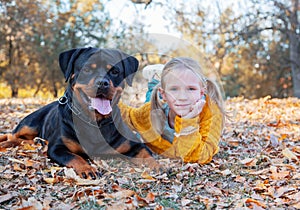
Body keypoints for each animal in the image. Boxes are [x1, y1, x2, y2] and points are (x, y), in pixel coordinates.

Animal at [0, 47, 158, 179]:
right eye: (87, 69)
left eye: (114, 71)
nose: (102, 83)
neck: (95, 122)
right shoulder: (57, 148)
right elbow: (75, 157)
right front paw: (87, 169)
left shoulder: (133, 144)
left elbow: (146, 153)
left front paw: (159, 165)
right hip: (29, 124)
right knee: (11, 135)